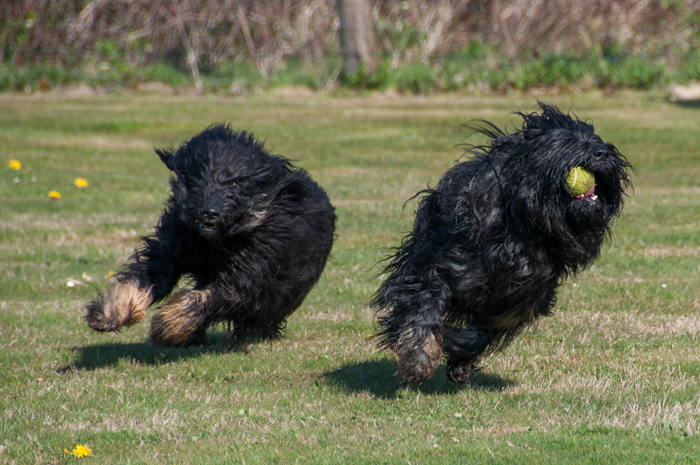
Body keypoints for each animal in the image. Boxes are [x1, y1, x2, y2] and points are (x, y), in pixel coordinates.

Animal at [85, 125, 336, 346]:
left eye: (235, 184)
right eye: (199, 179)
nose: (210, 212)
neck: (216, 242)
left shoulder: (251, 272)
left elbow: (208, 298)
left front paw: (168, 324)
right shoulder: (171, 250)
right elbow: (143, 277)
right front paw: (112, 312)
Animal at [372, 102, 636, 384]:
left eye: (597, 140)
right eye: (567, 141)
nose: (603, 153)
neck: (525, 228)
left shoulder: (525, 297)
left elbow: (486, 330)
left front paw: (459, 356)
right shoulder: (435, 263)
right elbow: (424, 308)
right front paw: (419, 359)